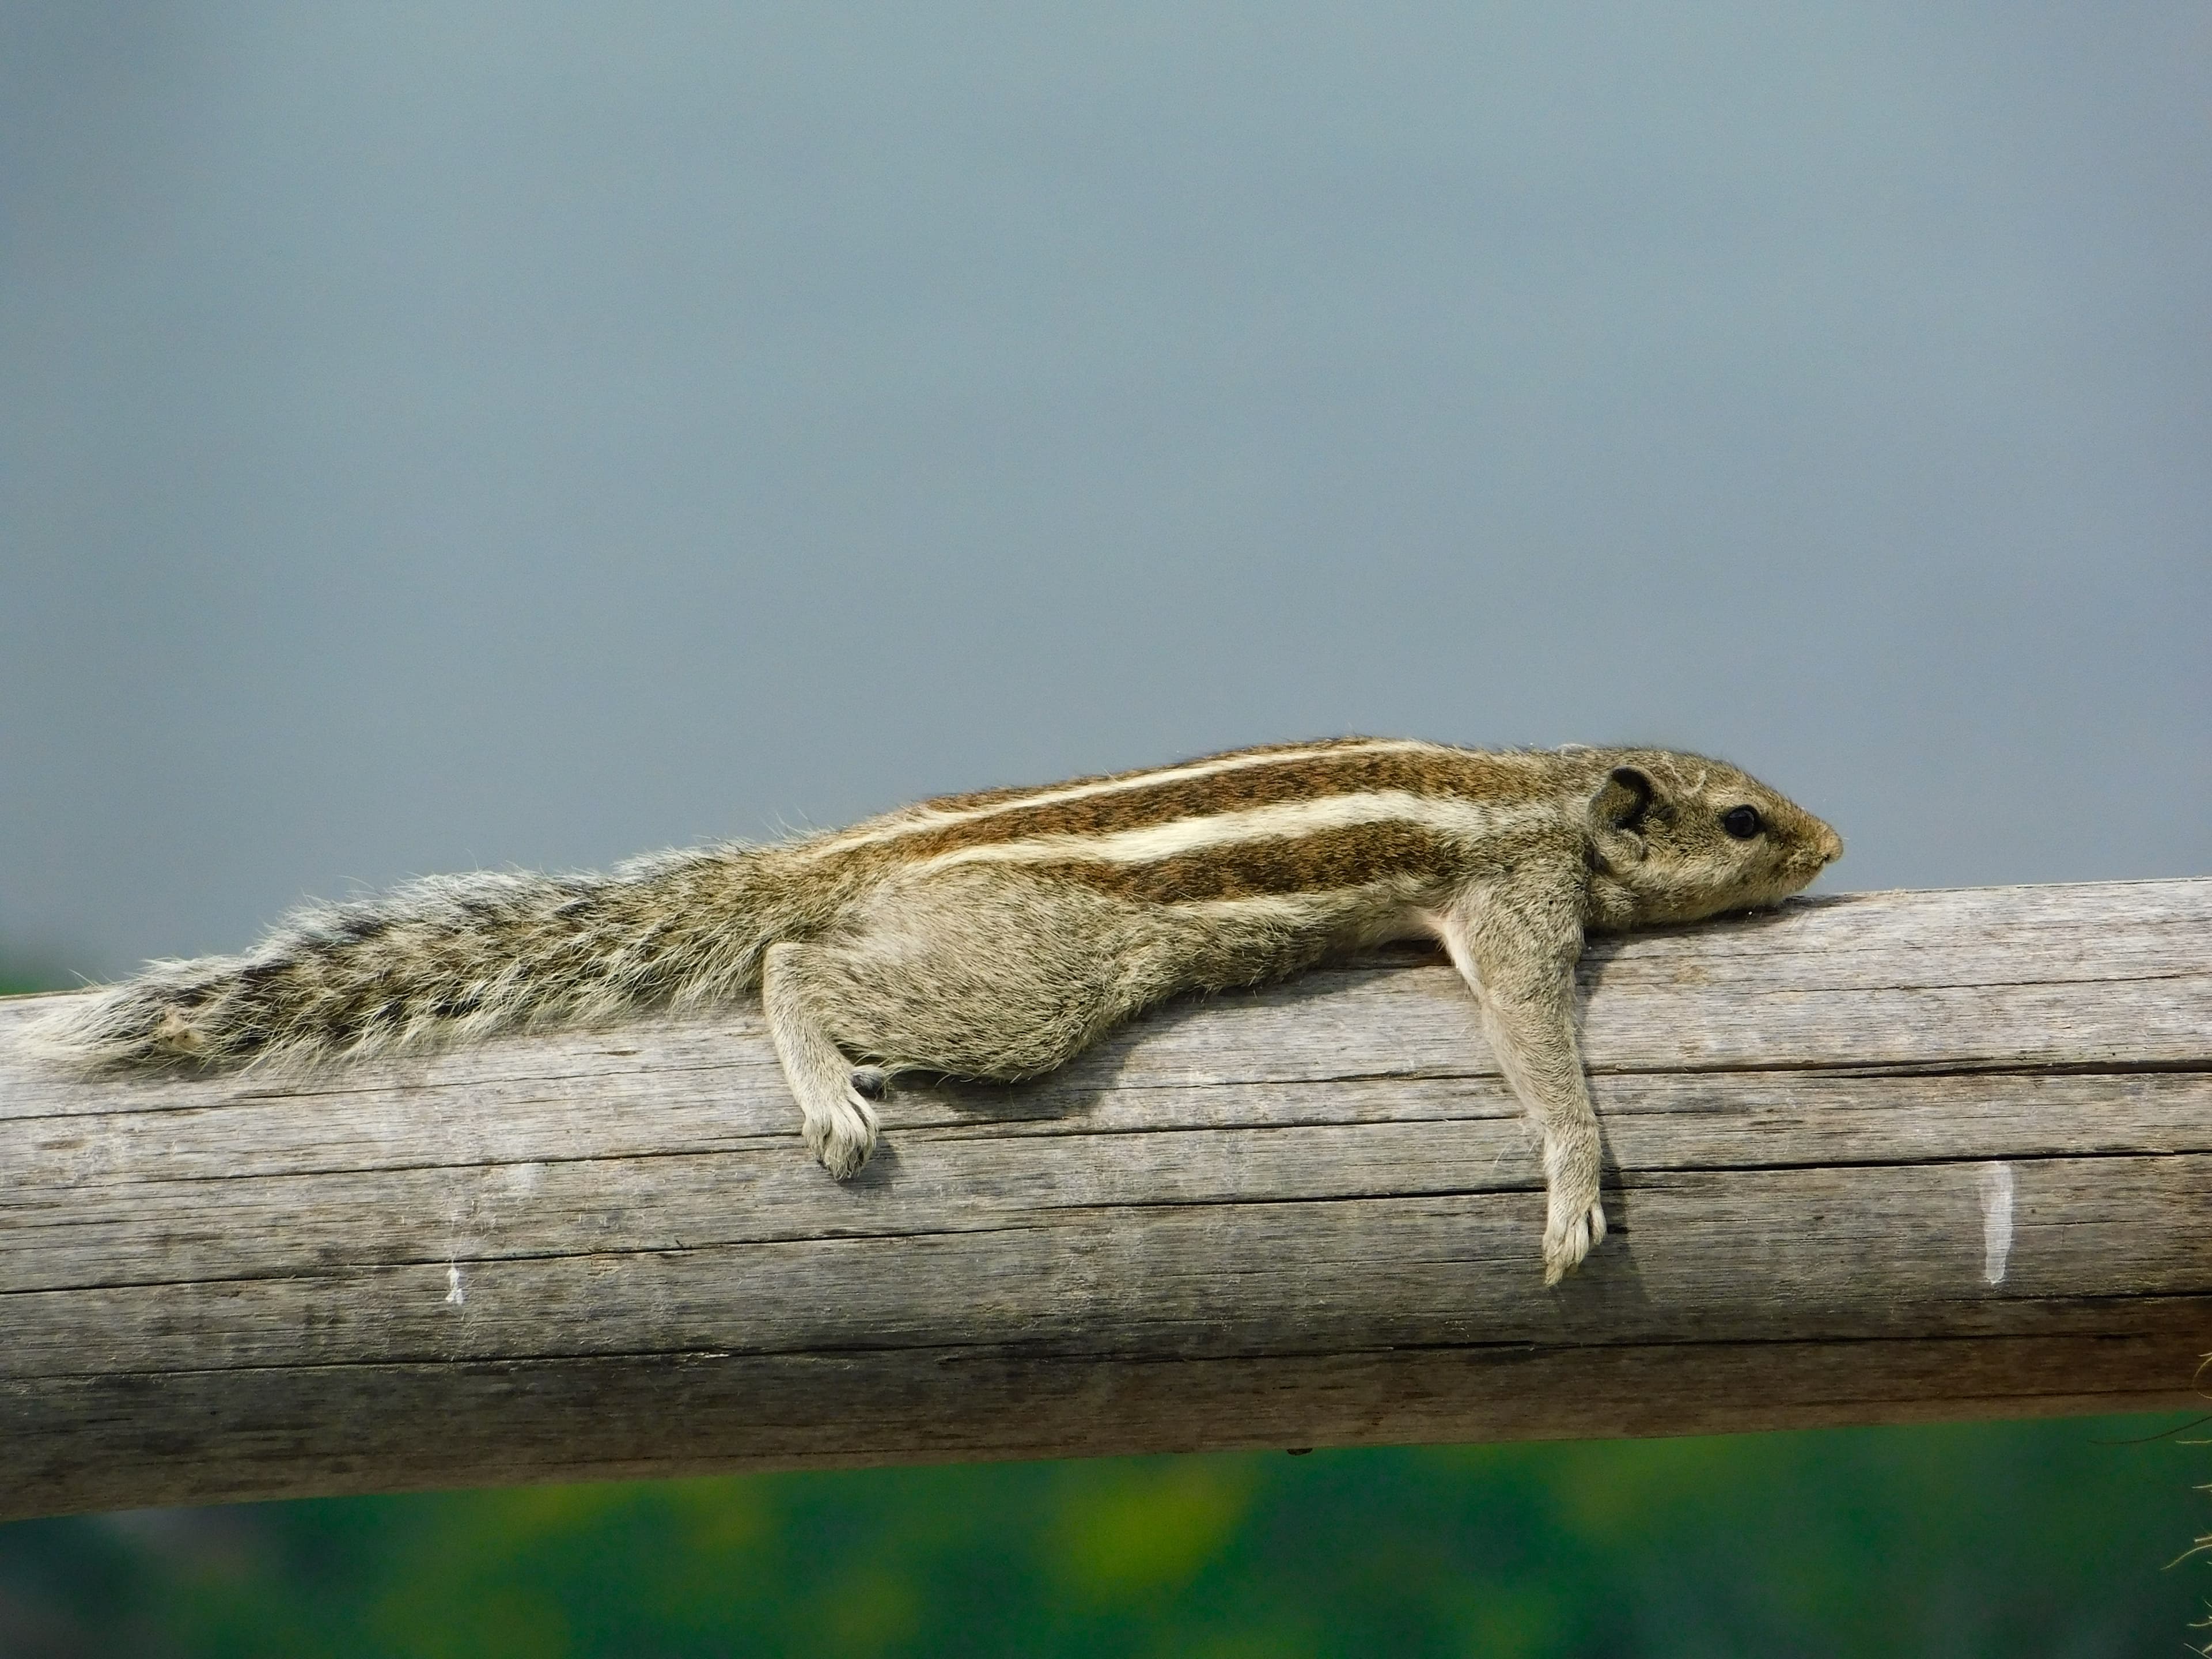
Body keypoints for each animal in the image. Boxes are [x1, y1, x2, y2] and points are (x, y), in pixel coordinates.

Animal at [33, 738, 1842, 1283]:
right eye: (1741, 819)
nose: (1829, 843)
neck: (1551, 788)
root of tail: (846, 852)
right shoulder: (1516, 911)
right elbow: (1536, 1043)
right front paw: (1573, 1178)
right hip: (1046, 975)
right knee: (789, 963)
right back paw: (830, 1090)